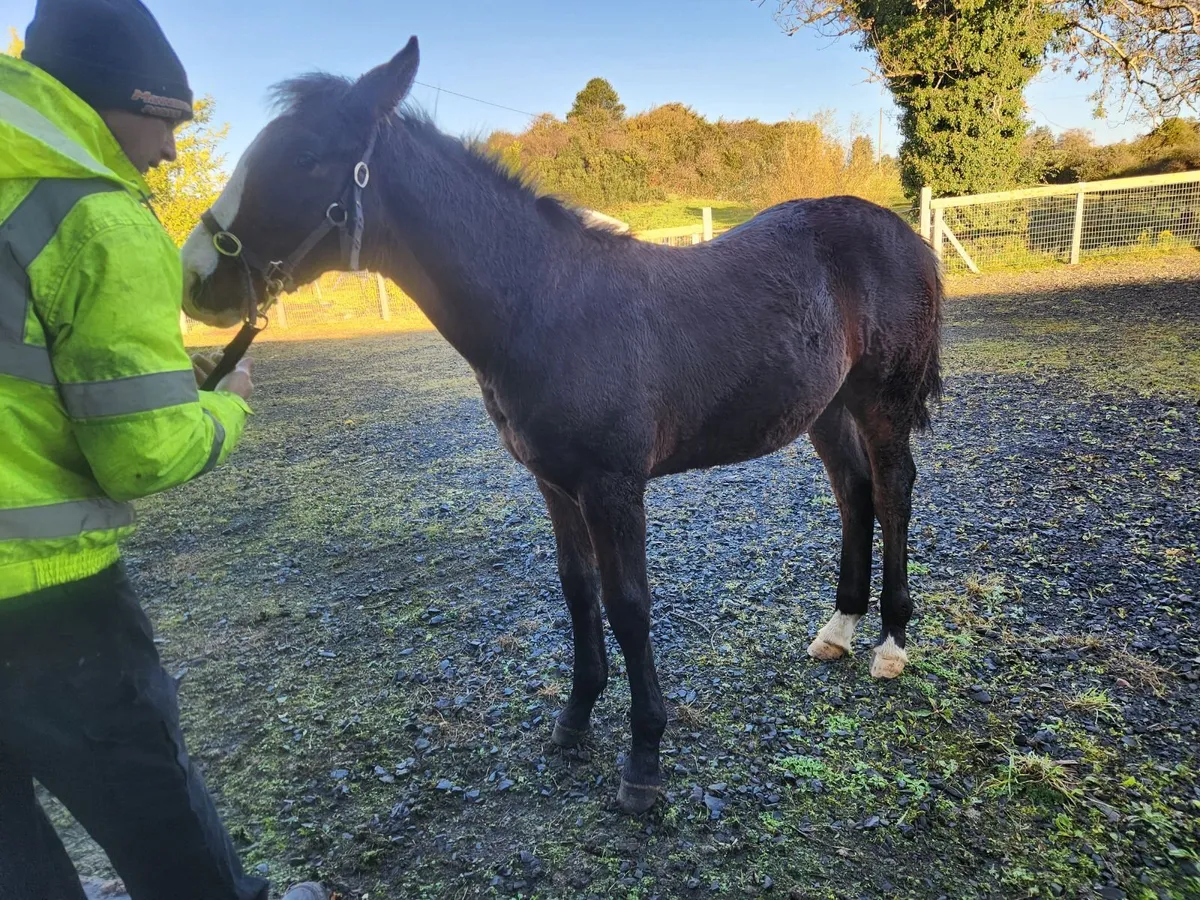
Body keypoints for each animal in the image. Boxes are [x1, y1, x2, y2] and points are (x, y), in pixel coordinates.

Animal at [180, 37, 944, 814]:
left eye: (307, 155)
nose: (195, 275)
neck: (545, 305)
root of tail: (903, 233)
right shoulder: (555, 484)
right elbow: (578, 592)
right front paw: (574, 720)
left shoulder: (613, 485)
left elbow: (628, 604)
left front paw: (643, 757)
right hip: (828, 407)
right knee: (854, 493)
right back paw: (839, 629)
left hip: (881, 401)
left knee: (893, 491)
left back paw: (891, 642)